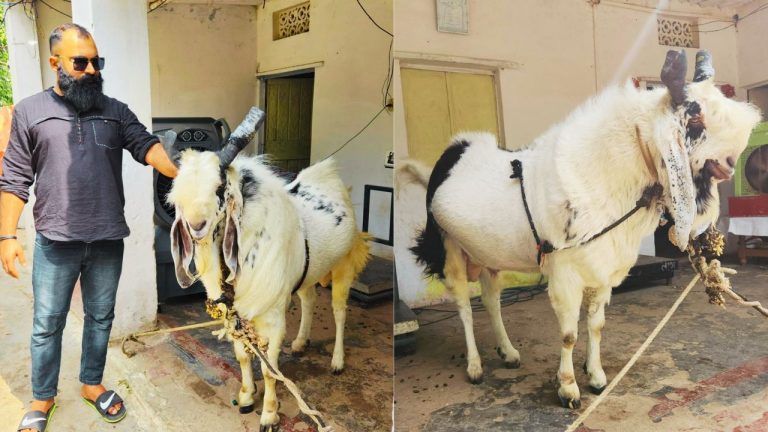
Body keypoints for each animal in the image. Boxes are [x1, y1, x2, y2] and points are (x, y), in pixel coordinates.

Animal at [165, 108, 370, 430]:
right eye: (177, 194)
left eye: (219, 187)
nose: (197, 226)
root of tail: (330, 177)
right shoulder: (235, 314)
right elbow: (242, 356)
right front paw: (247, 397)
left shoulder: (273, 316)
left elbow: (270, 367)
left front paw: (270, 414)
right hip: (308, 275)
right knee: (310, 300)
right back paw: (299, 343)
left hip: (344, 265)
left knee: (339, 310)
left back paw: (337, 361)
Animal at [402, 50, 761, 409]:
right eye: (695, 119)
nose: (730, 163)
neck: (599, 176)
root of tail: (450, 156)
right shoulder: (565, 273)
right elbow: (568, 333)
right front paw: (568, 387)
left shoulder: (603, 270)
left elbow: (596, 325)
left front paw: (597, 376)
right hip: (450, 247)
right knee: (464, 306)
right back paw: (475, 366)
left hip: (488, 254)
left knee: (491, 301)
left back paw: (508, 353)